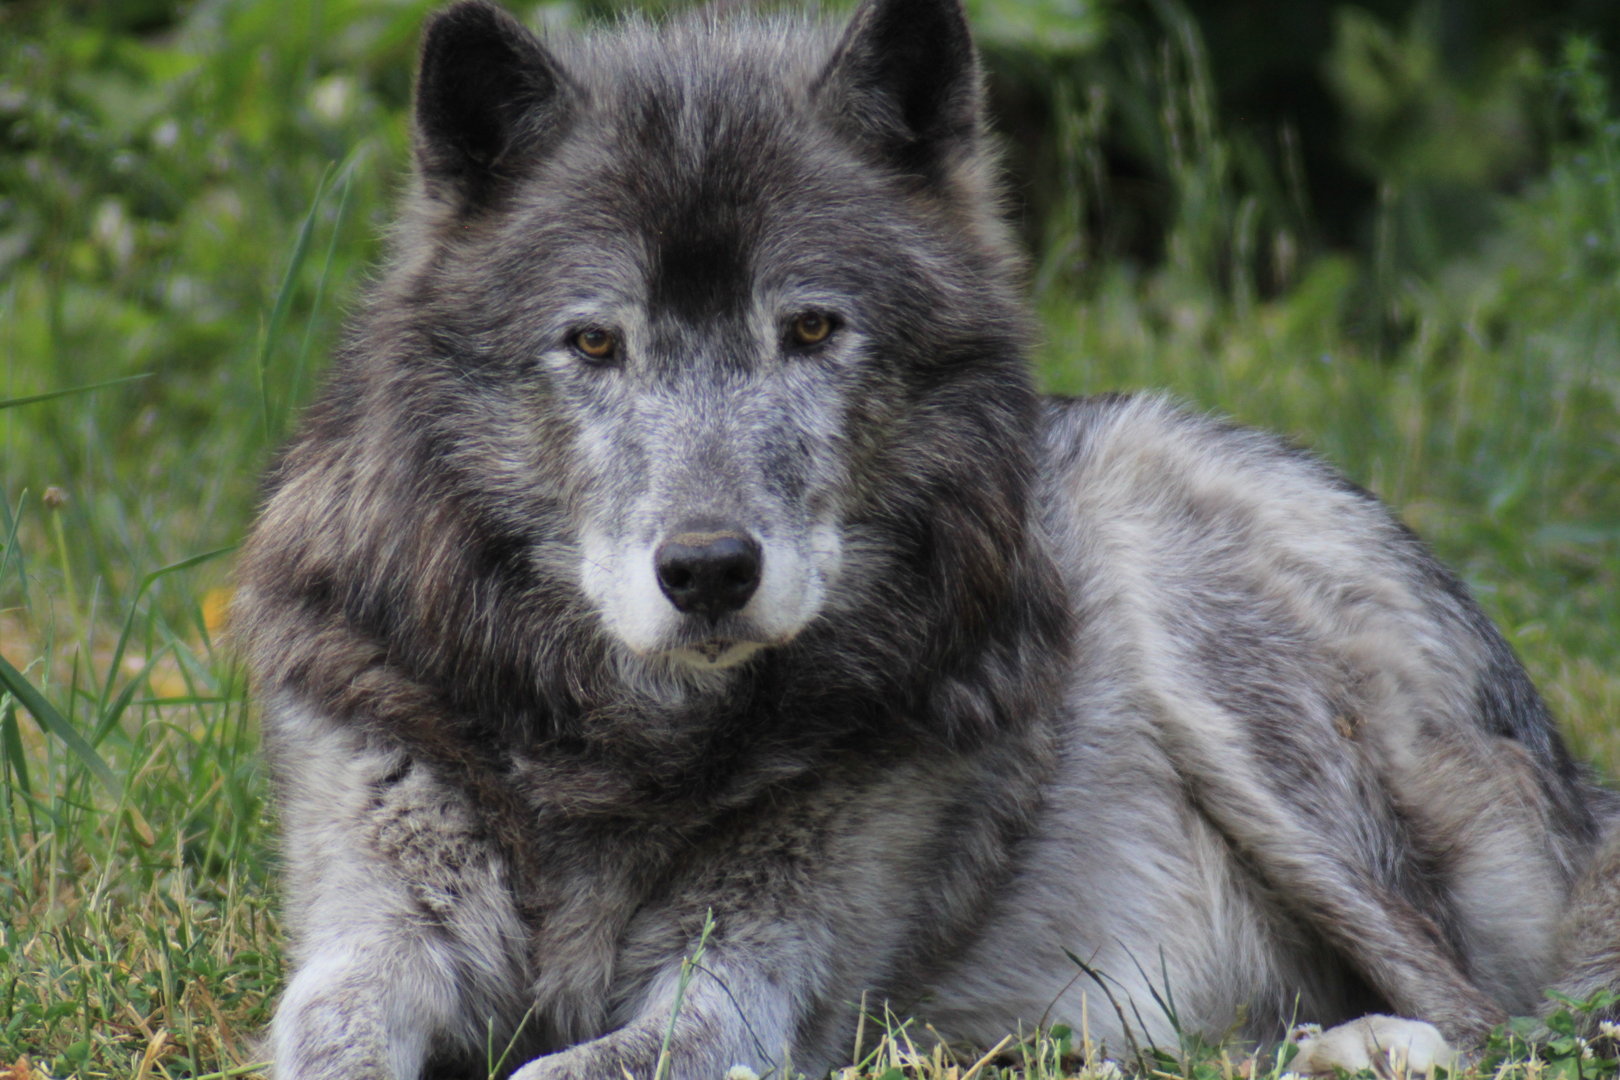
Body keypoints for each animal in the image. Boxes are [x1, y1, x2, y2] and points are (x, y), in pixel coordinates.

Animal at [234, 0, 1620, 1077]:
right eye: (593, 341)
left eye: (810, 329)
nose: (708, 571)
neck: (626, 753)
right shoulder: (375, 926)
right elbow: (331, 1033)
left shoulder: (739, 995)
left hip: (1204, 624)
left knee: (1495, 1014)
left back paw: (1369, 1044)